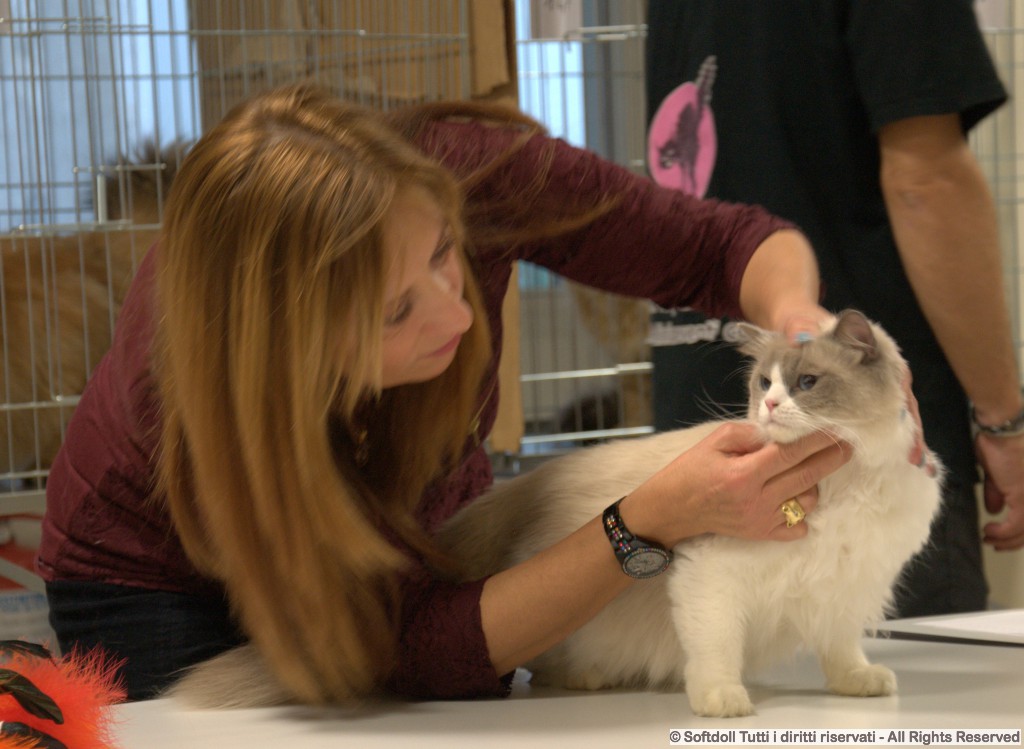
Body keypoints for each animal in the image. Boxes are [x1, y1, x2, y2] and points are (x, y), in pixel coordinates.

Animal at [437, 309, 942, 717]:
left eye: (807, 384)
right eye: (765, 383)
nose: (770, 405)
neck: (841, 483)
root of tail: (525, 483)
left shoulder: (845, 585)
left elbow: (841, 647)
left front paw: (856, 682)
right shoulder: (711, 574)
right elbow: (717, 647)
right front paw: (722, 701)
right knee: (539, 665)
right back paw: (588, 676)